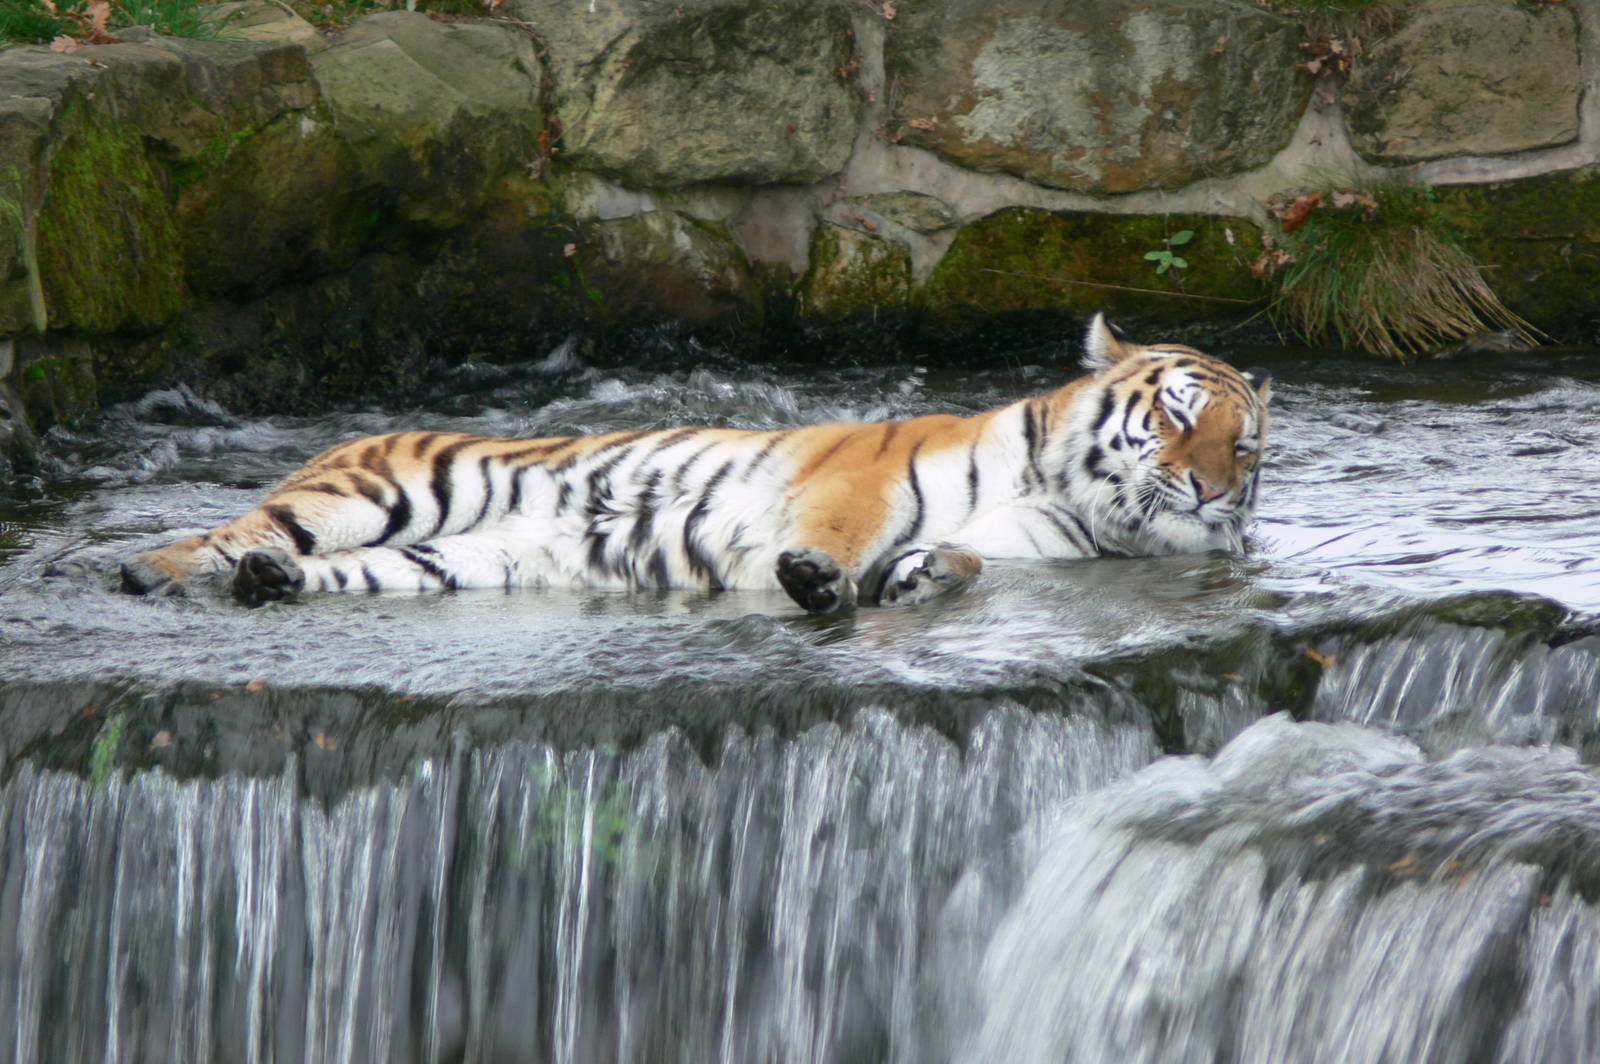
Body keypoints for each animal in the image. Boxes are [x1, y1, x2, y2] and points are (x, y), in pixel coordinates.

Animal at [118, 314, 1270, 613]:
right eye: (1174, 415)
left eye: (1244, 441)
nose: (1212, 485)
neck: (1077, 500)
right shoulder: (860, 476)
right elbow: (841, 530)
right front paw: (818, 579)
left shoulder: (1025, 549)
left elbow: (961, 559)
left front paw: (921, 576)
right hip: (385, 489)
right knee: (221, 531)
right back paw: (150, 570)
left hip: (453, 558)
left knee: (310, 566)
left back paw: (269, 582)